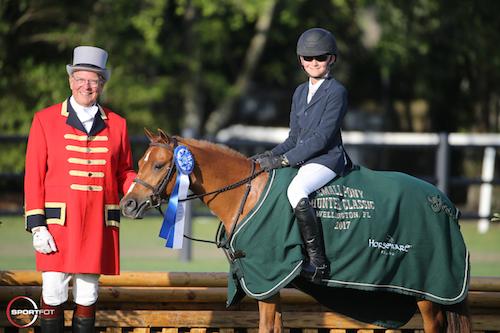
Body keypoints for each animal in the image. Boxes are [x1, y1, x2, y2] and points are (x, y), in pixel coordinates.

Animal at [119, 130, 470, 332]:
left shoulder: (266, 278)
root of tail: (444, 203)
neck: (247, 193)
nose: (128, 205)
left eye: (159, 165)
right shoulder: (267, 283)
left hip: (428, 289)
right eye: (140, 162)